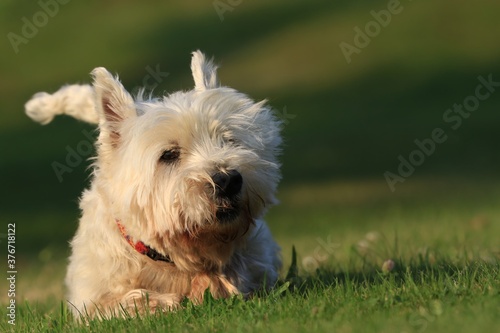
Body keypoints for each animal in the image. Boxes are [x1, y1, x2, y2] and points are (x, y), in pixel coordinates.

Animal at [25, 50, 284, 318]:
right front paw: (165, 301)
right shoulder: (91, 299)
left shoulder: (260, 259)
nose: (228, 179)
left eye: (229, 140)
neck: (171, 257)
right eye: (168, 155)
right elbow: (122, 301)